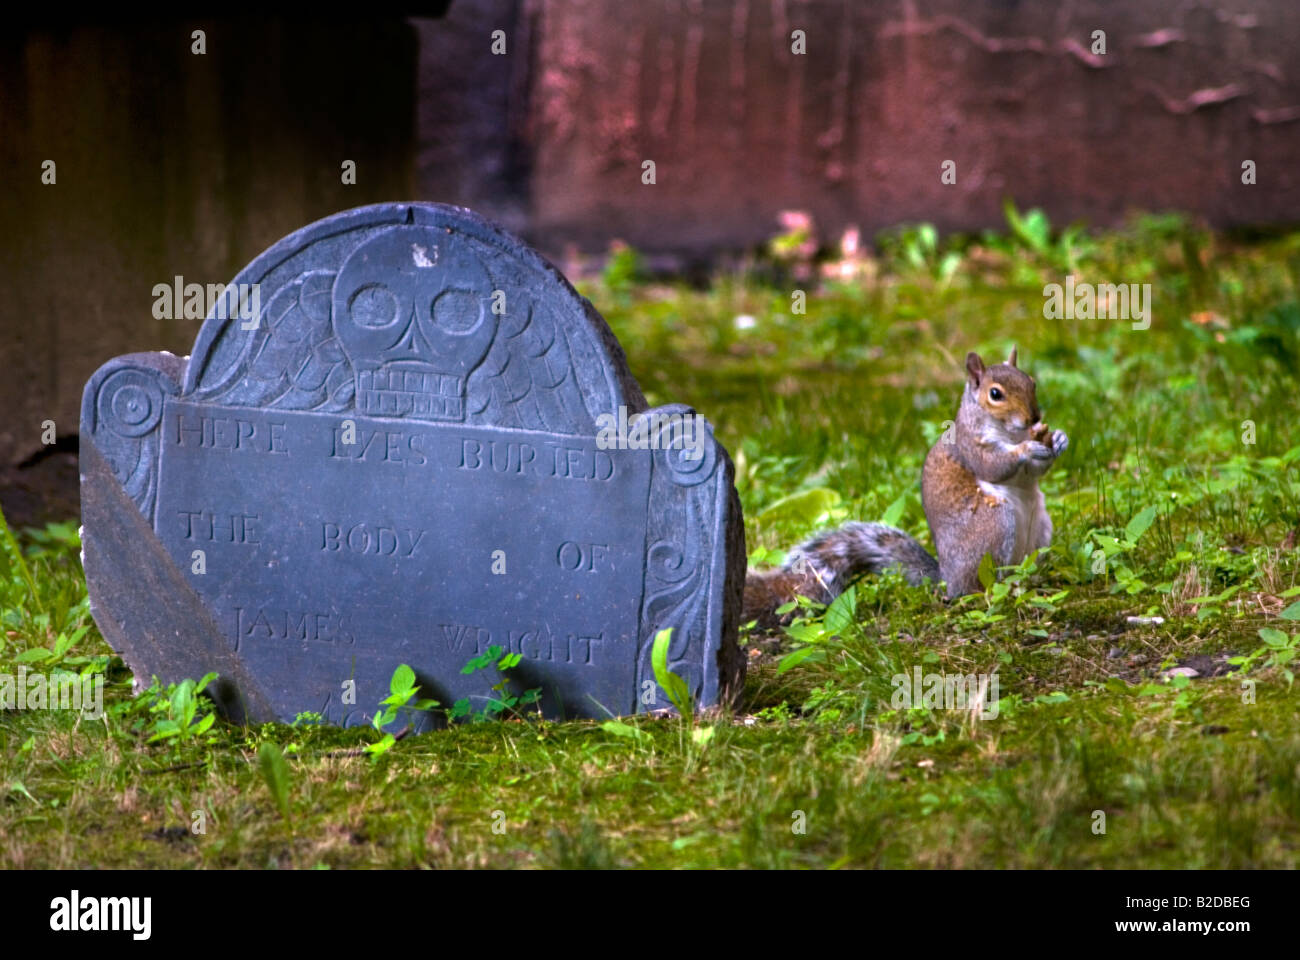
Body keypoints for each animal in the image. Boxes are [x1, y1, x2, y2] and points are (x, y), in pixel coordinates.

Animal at [742, 348, 1069, 627]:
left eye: (1031, 382)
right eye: (995, 394)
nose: (1035, 417)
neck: (1010, 432)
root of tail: (947, 579)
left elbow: (1035, 472)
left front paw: (1058, 438)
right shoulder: (970, 445)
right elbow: (995, 465)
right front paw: (1027, 448)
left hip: (1041, 529)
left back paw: (1031, 582)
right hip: (995, 525)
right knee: (980, 587)